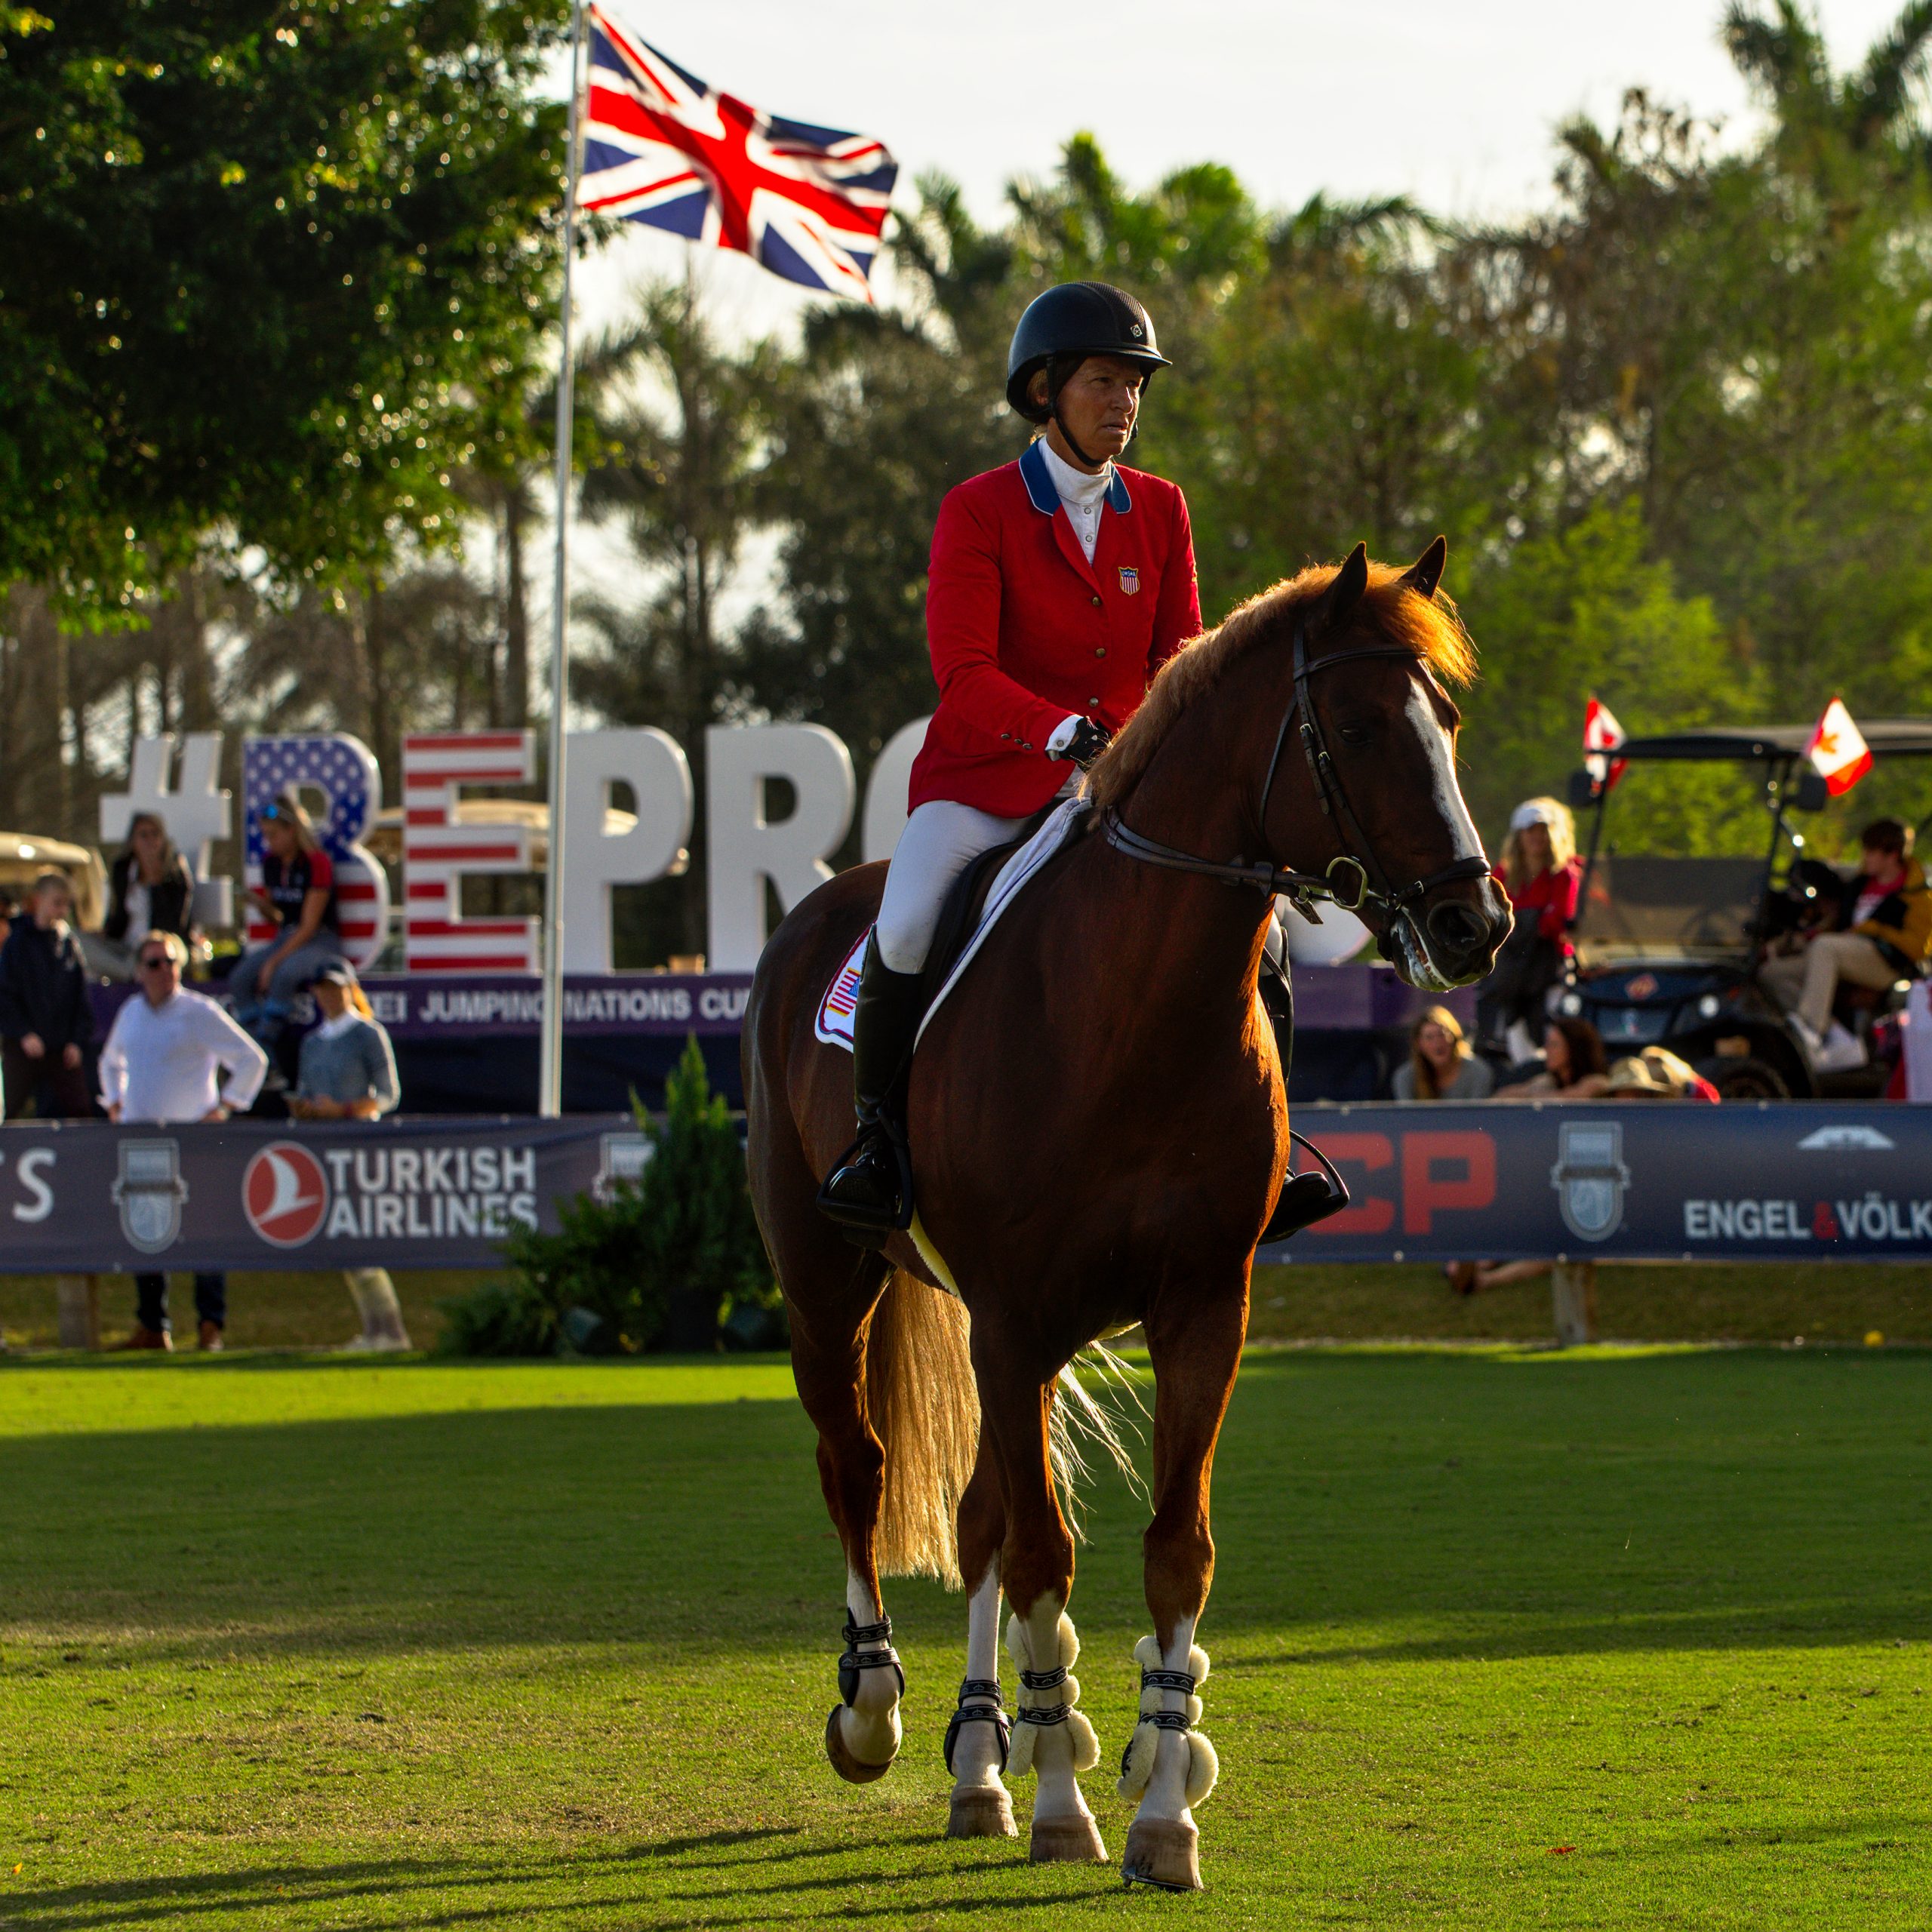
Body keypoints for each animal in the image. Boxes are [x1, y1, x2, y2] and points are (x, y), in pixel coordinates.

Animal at [737, 540, 1506, 1885]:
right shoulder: (1012, 1320)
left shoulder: (1199, 1307)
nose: (1477, 923)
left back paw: (983, 1760)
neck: (1133, 1008)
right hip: (834, 1291)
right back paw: (877, 1711)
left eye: (1447, 723)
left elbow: (1169, 1545)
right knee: (860, 1470)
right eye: (1360, 727)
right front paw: (1065, 1803)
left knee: (979, 1517)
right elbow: (1044, 1553)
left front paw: (1159, 1804)